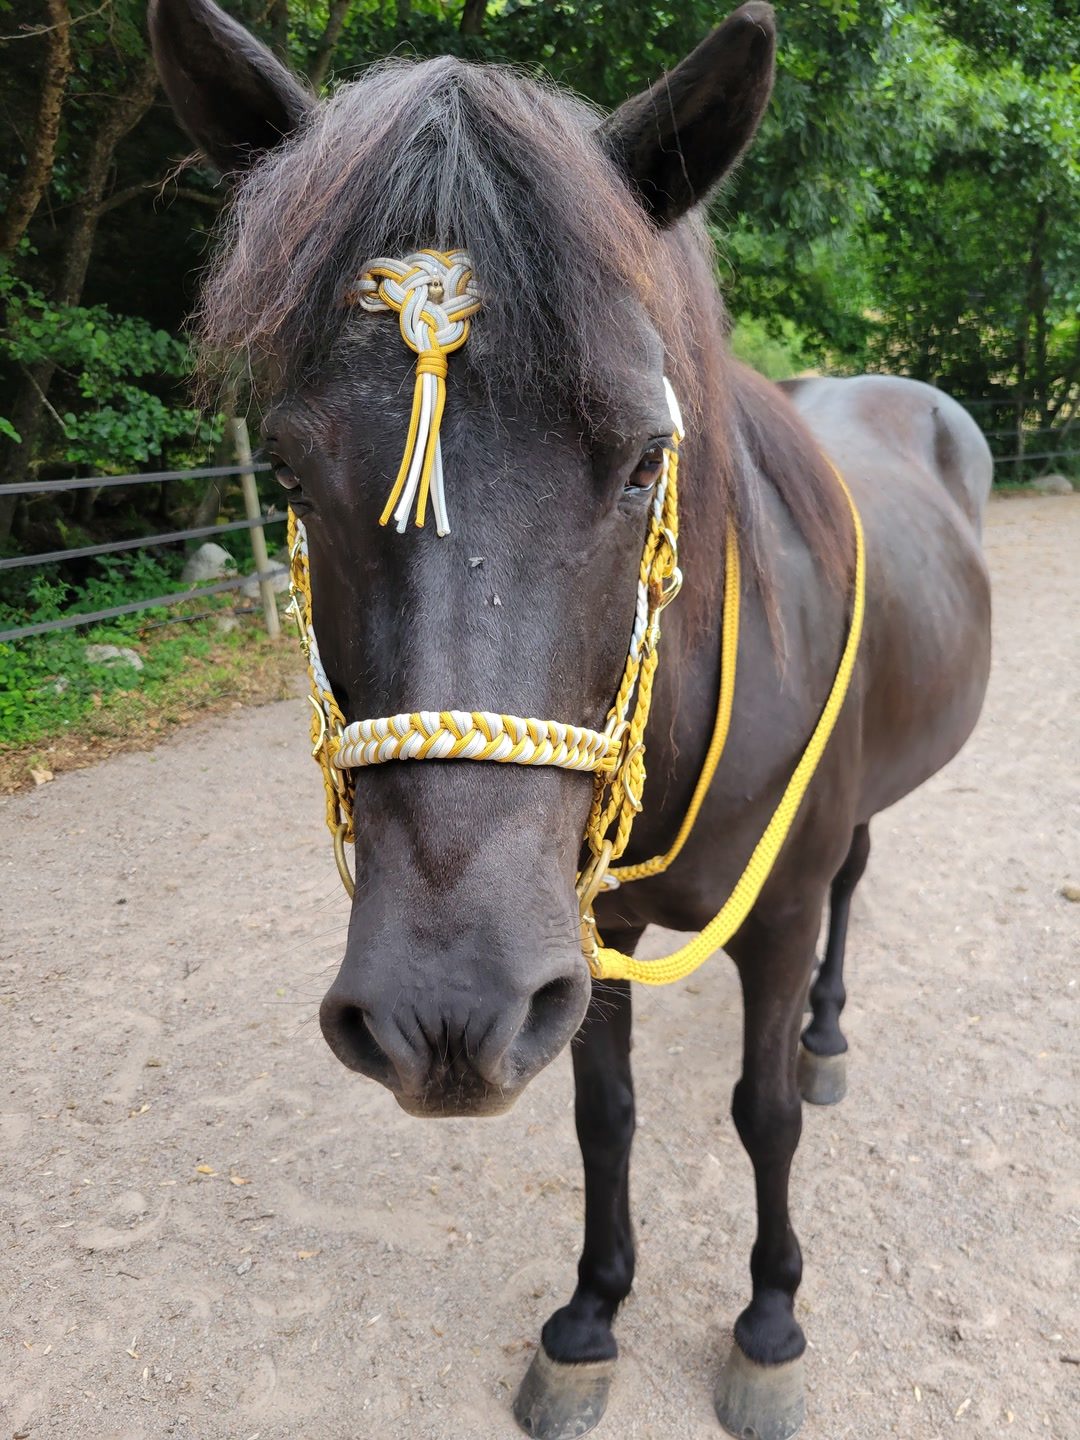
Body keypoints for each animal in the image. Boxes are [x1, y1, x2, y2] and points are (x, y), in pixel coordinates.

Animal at [149, 2, 993, 1435]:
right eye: (293, 474)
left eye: (647, 458)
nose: (440, 1013)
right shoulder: (580, 938)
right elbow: (607, 1116)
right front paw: (592, 1319)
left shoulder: (766, 916)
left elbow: (764, 1114)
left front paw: (771, 1324)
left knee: (850, 892)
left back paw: (827, 1033)